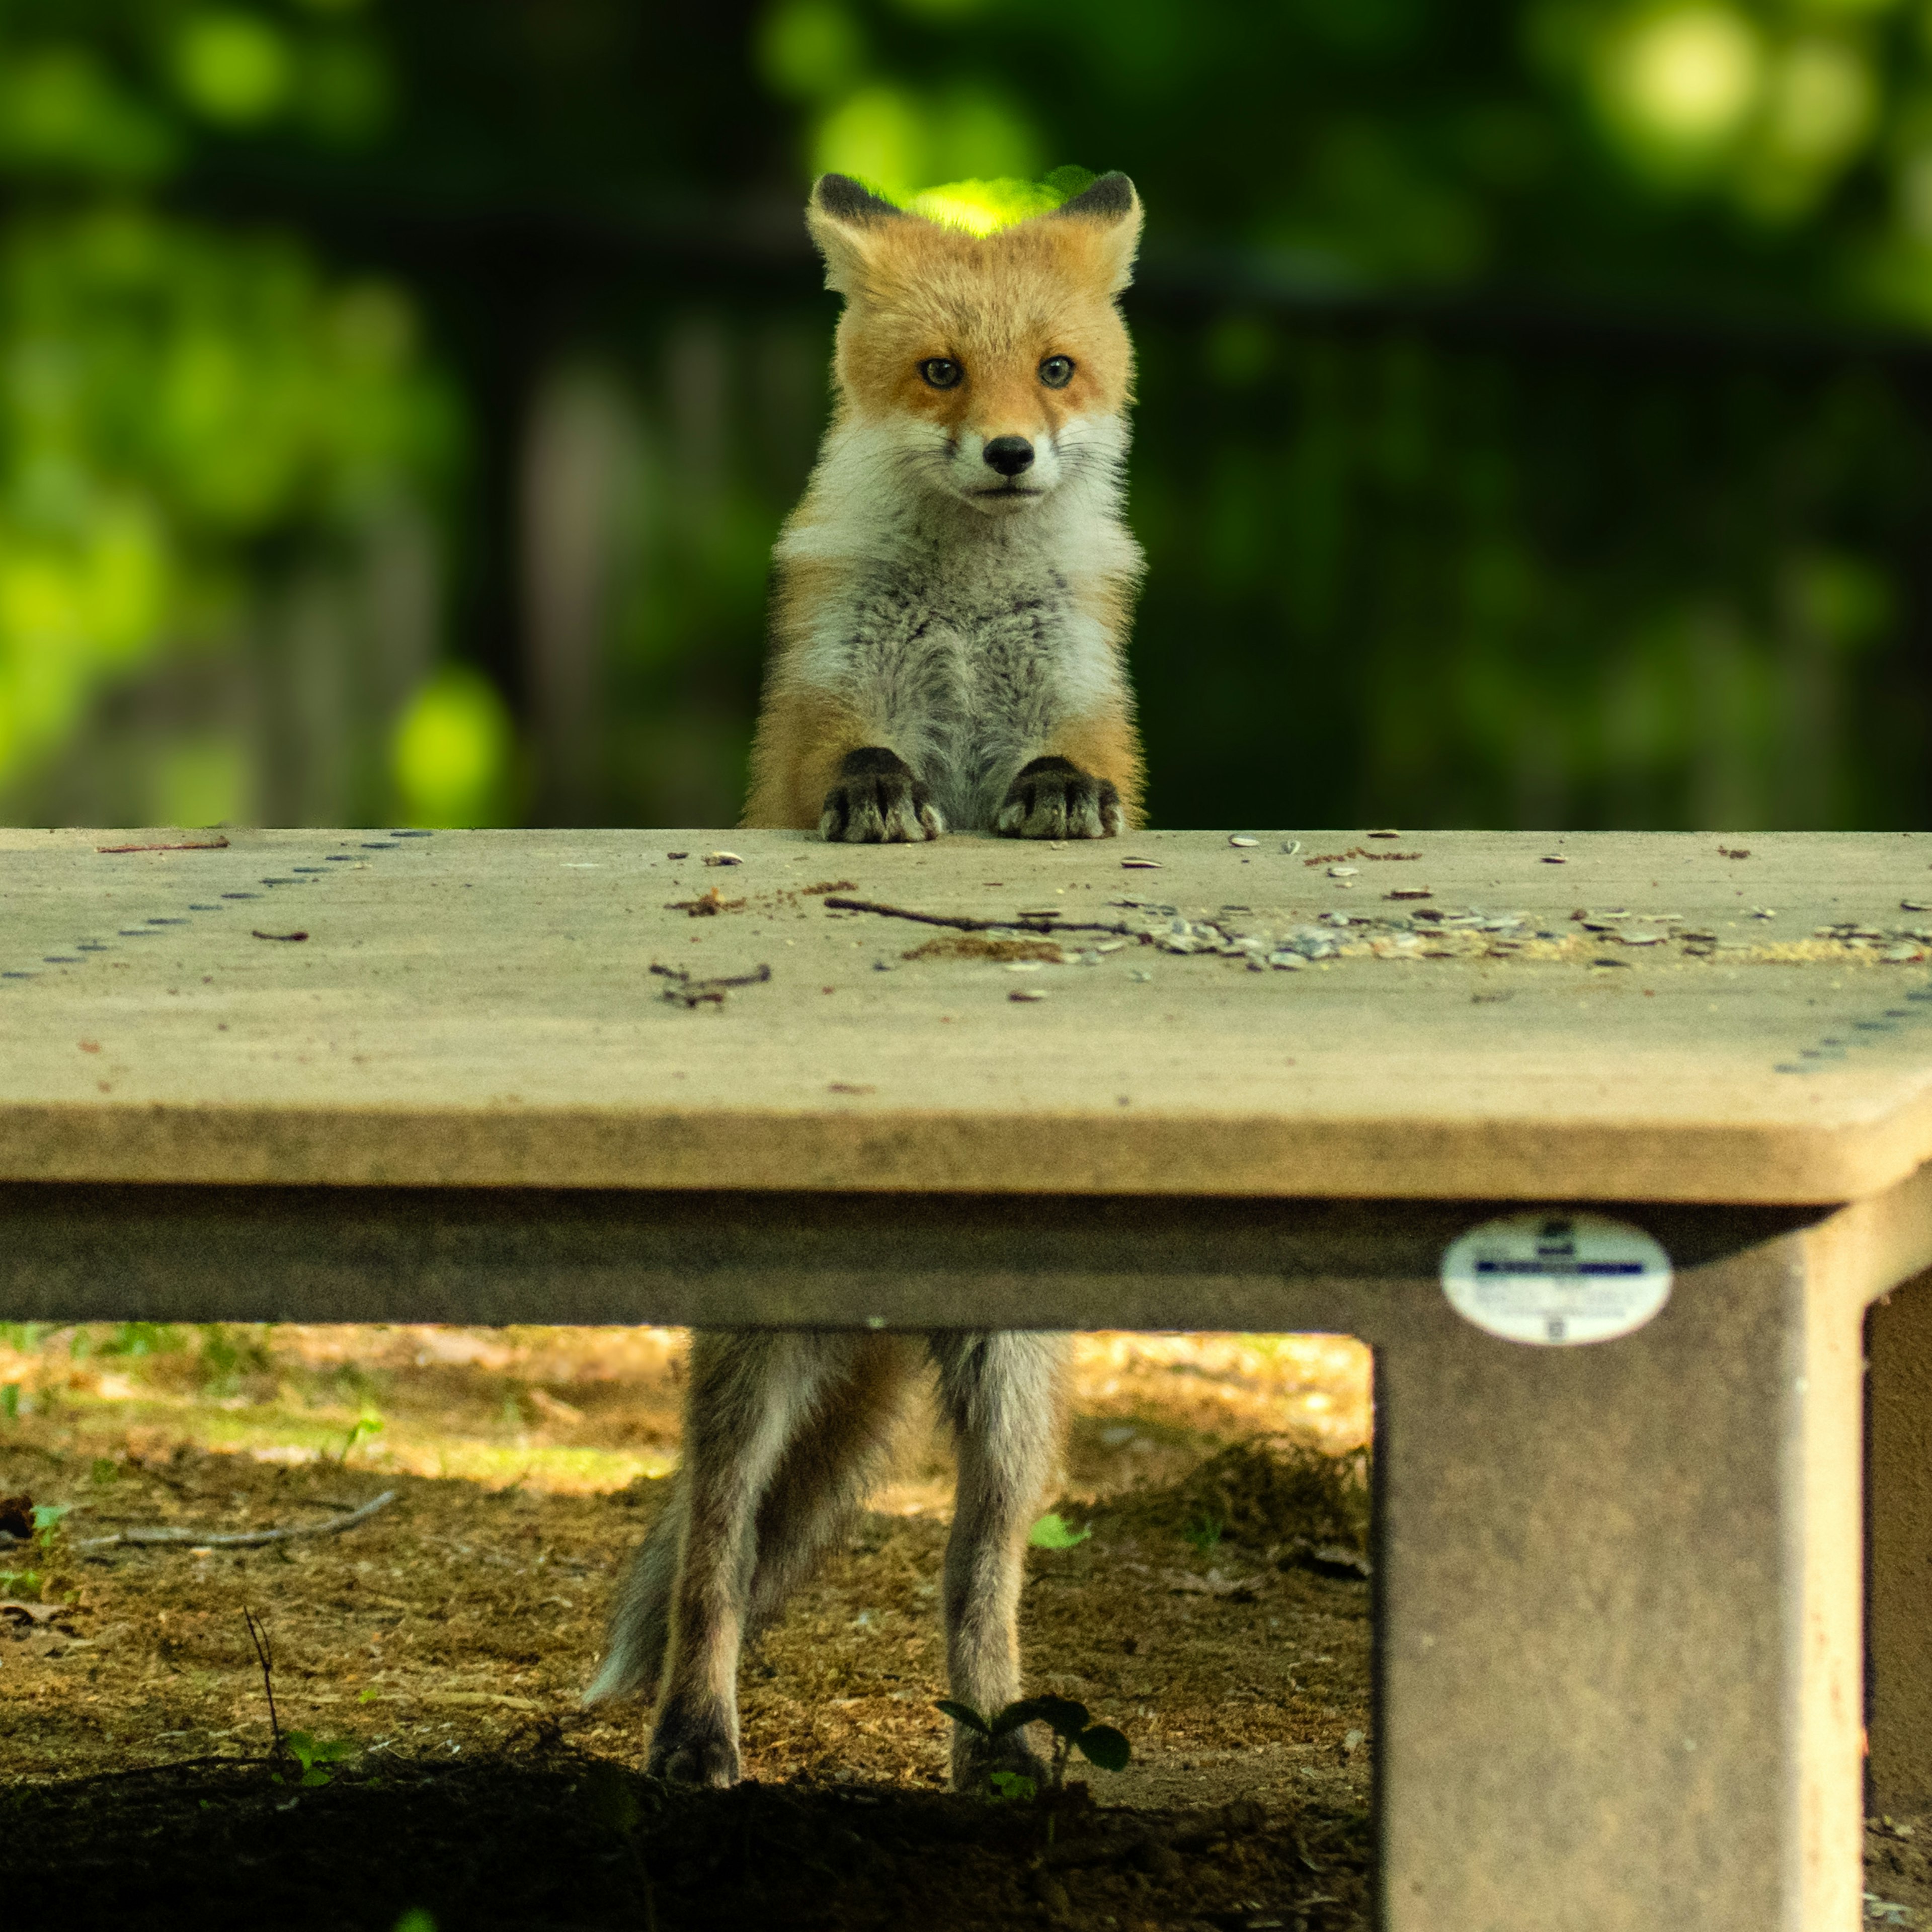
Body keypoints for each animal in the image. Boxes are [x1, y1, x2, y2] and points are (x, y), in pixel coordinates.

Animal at [587, 174, 1144, 1785]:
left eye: (1057, 371)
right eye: (943, 374)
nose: (1012, 452)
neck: (961, 611)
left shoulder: (1096, 710)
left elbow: (1077, 767)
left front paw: (1049, 799)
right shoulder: (821, 709)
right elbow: (852, 759)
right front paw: (887, 796)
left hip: (1010, 1398)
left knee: (976, 1573)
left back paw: (999, 1752)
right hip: (753, 1372)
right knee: (715, 1556)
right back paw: (695, 1737)